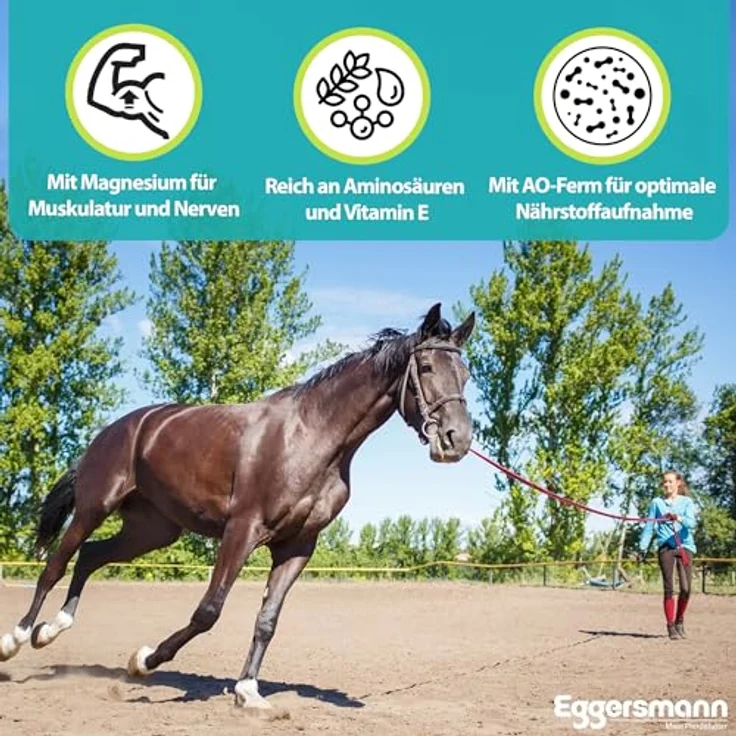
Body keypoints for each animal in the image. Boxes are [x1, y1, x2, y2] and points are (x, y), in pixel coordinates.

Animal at [0, 302, 475, 708]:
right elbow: (208, 611)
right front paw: (144, 660)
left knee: (90, 556)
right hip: (93, 508)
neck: (312, 436)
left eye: (466, 374)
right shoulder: (242, 529)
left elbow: (268, 619)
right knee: (56, 564)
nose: (457, 440)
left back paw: (50, 631)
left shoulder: (297, 546)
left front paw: (248, 691)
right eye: (427, 367)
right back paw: (19, 638)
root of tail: (116, 429)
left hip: (152, 530)